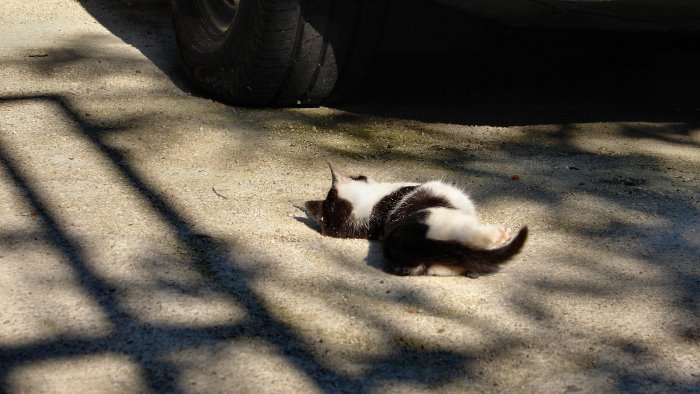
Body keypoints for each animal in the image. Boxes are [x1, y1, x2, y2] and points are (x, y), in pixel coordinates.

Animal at [304, 164, 528, 278]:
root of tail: (406, 244)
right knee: (472, 234)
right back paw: (498, 235)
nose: (360, 174)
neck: (376, 207)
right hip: (447, 219)